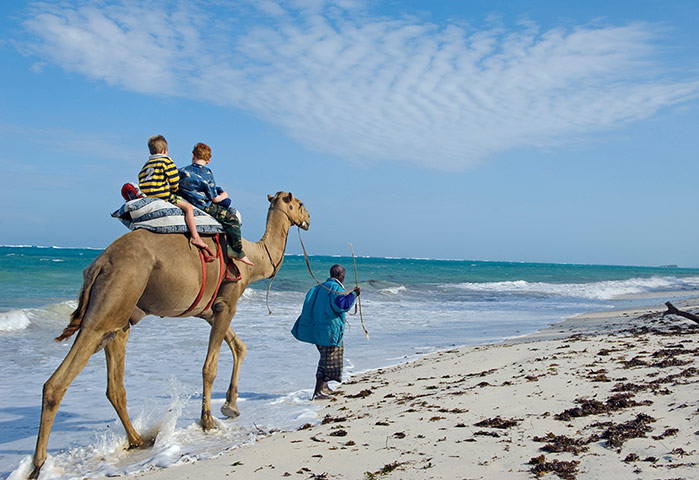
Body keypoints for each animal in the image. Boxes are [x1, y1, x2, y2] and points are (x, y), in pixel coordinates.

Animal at [30, 192, 308, 480]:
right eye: (299, 204)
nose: (308, 219)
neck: (254, 259)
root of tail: (99, 264)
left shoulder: (209, 311)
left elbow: (239, 347)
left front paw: (230, 406)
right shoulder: (227, 303)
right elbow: (210, 367)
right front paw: (208, 420)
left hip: (119, 315)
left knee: (114, 384)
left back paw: (139, 440)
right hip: (114, 296)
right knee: (57, 382)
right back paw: (38, 465)